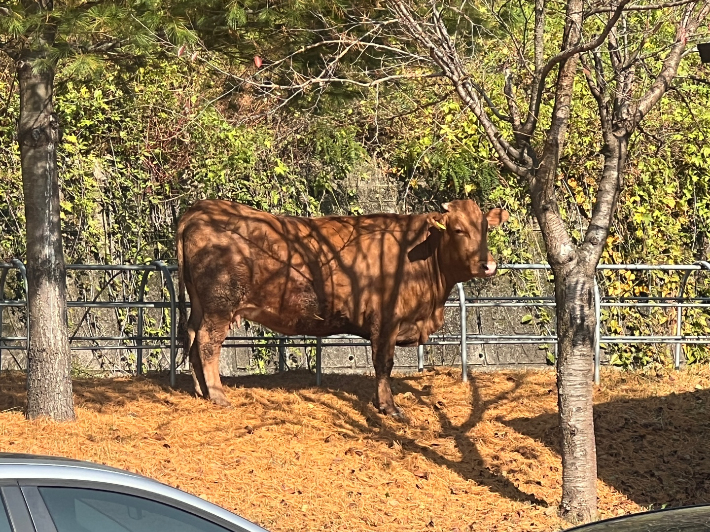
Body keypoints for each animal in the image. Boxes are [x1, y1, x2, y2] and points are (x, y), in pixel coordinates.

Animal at [178, 200, 512, 416]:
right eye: (458, 229)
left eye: (485, 228)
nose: (488, 265)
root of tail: (199, 209)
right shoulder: (386, 321)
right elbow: (383, 364)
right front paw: (389, 407)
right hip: (220, 305)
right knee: (207, 343)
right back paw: (218, 395)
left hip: (200, 304)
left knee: (192, 336)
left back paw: (200, 390)